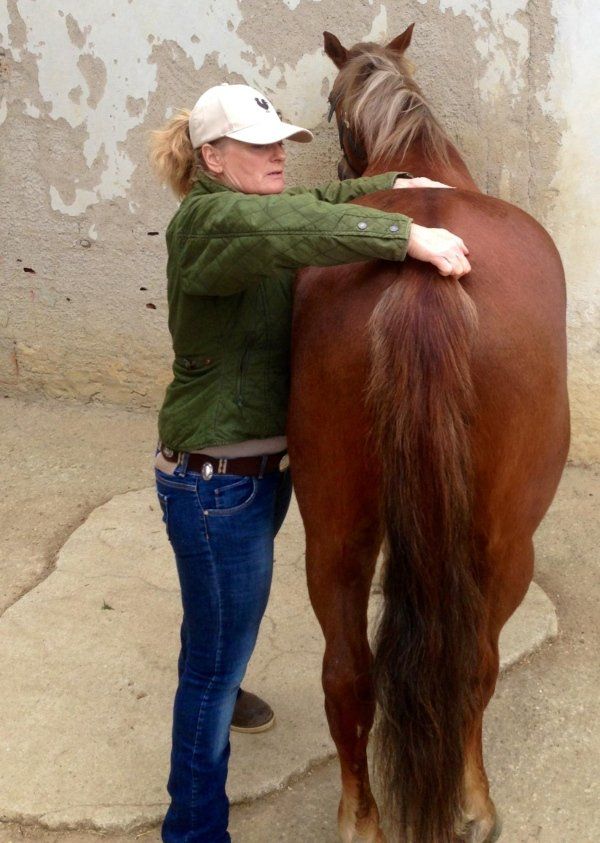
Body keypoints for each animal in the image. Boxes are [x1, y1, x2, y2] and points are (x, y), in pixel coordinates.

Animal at [287, 25, 569, 843]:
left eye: (328, 106)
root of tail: (421, 273)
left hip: (335, 528)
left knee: (347, 673)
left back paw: (361, 818)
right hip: (506, 541)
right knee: (476, 663)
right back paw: (474, 803)